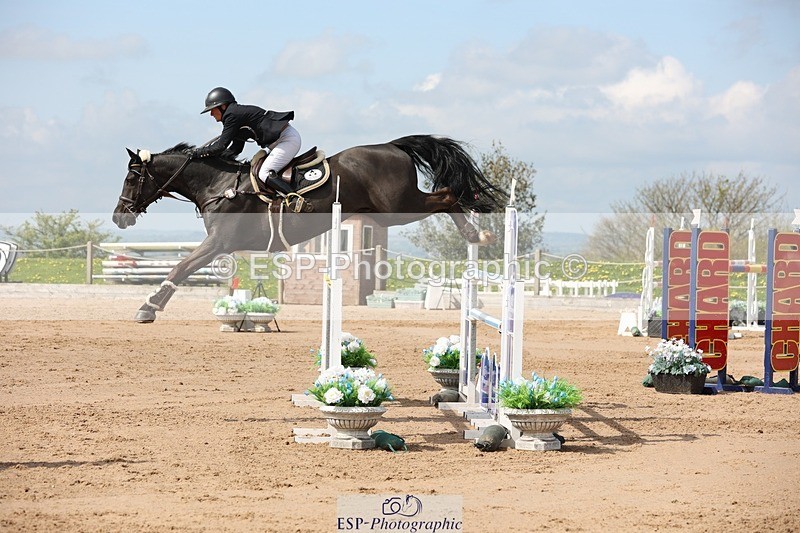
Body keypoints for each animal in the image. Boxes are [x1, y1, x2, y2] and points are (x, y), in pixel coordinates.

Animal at [113, 135, 506, 322]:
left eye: (132, 177)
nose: (119, 217)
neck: (218, 184)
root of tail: (393, 146)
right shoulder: (221, 245)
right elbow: (185, 268)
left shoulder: (219, 242)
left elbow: (180, 268)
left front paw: (148, 307)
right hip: (392, 210)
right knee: (446, 195)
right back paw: (478, 233)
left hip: (397, 208)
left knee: (447, 195)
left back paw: (477, 234)